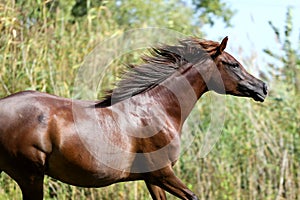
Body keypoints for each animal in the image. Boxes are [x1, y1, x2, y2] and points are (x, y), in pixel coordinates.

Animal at [0, 36, 268, 199]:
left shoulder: (153, 179)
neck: (158, 109)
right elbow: (193, 196)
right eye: (233, 64)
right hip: (30, 175)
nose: (263, 87)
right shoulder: (163, 173)